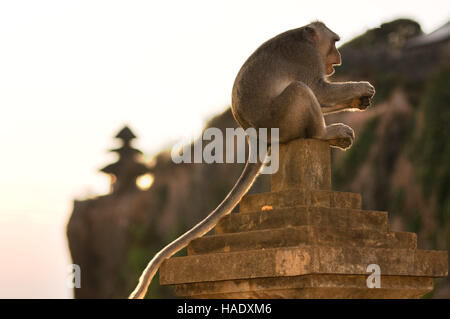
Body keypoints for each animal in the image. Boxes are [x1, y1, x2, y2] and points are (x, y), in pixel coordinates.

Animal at [128, 21, 374, 298]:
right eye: (334, 42)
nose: (338, 58)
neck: (304, 38)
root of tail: (253, 135)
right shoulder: (307, 57)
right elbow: (319, 91)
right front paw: (362, 88)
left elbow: (323, 98)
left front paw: (359, 100)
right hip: (280, 120)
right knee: (300, 90)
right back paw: (323, 133)